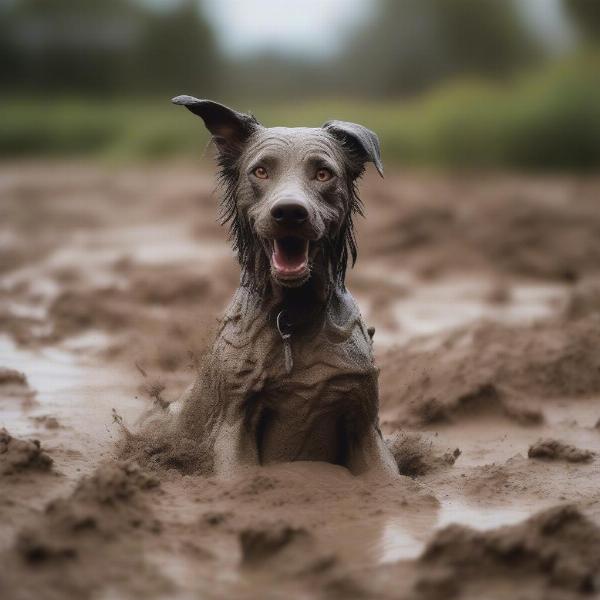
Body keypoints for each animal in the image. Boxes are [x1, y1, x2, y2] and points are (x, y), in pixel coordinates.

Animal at [170, 95, 398, 478]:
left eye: (323, 173)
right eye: (260, 171)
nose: (290, 212)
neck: (292, 314)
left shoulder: (364, 423)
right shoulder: (235, 420)